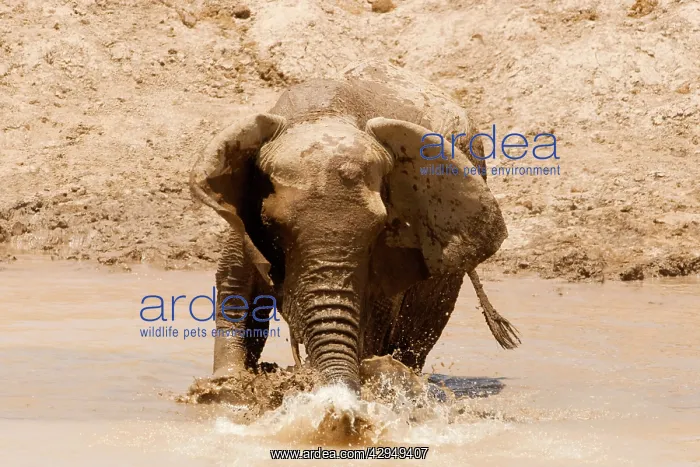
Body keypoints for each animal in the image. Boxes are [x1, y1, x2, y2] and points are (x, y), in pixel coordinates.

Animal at [189, 60, 519, 393]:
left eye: (379, 228)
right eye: (274, 226)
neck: (323, 114)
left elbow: (376, 313)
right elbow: (236, 284)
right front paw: (226, 385)